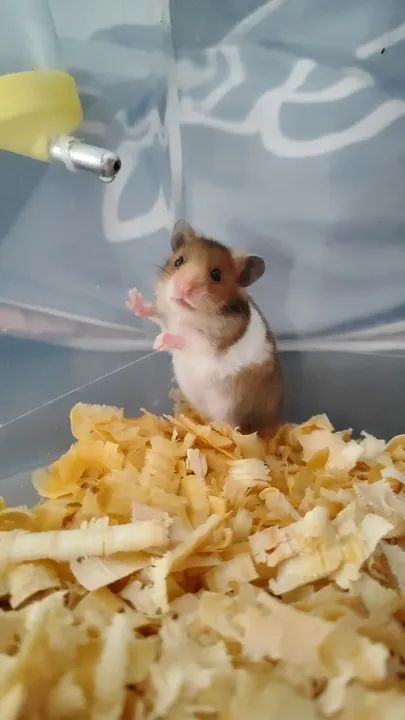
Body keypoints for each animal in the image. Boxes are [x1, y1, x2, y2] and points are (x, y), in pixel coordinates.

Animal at [126, 221, 283, 437]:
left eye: (216, 274)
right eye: (178, 262)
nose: (183, 288)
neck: (186, 314)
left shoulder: (209, 341)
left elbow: (186, 338)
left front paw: (159, 342)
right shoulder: (166, 315)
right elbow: (154, 313)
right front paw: (132, 298)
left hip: (231, 410)